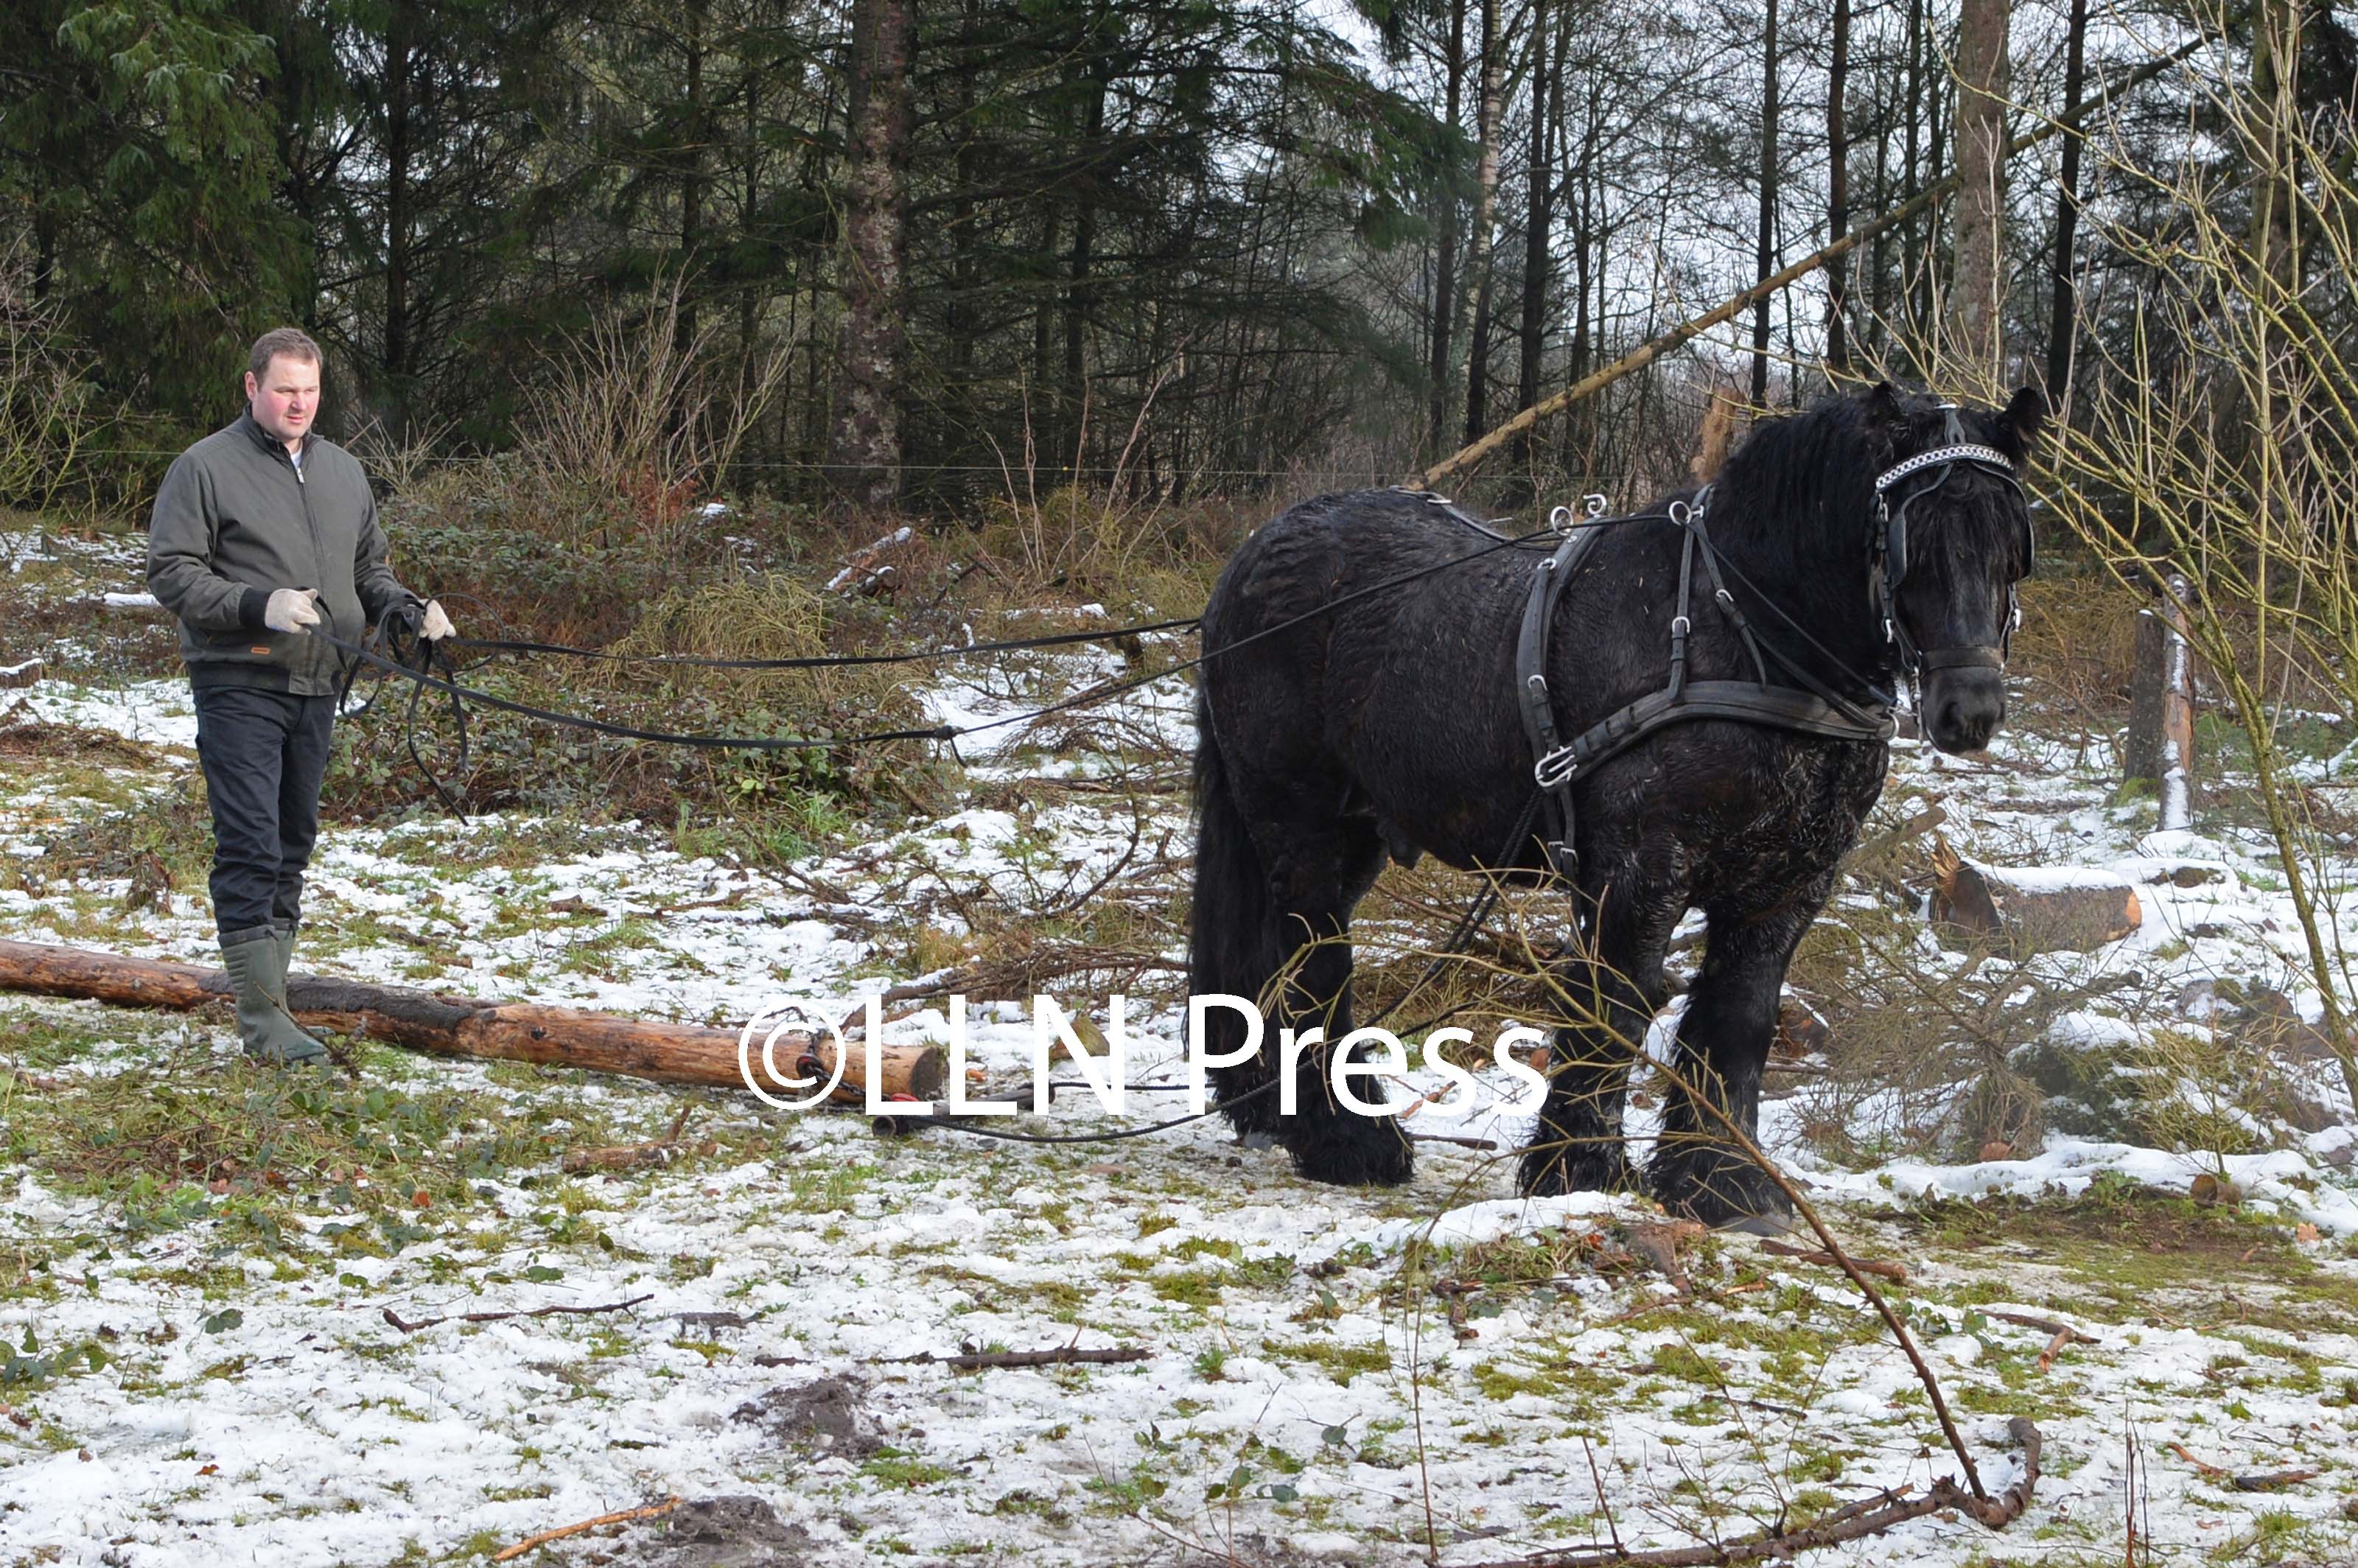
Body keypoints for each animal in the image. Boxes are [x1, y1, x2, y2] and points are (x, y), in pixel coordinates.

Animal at [1188, 379, 2037, 1226]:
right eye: (1909, 542)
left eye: (2009, 542)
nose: (1971, 709)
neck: (1740, 630)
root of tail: (1254, 552)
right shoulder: (1640, 867)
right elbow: (1617, 1001)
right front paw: (1578, 1169)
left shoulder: (1788, 883)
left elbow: (1739, 1016)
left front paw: (1721, 1181)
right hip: (1297, 818)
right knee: (1315, 964)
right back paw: (1348, 1141)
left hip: (1355, 830)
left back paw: (1272, 1110)